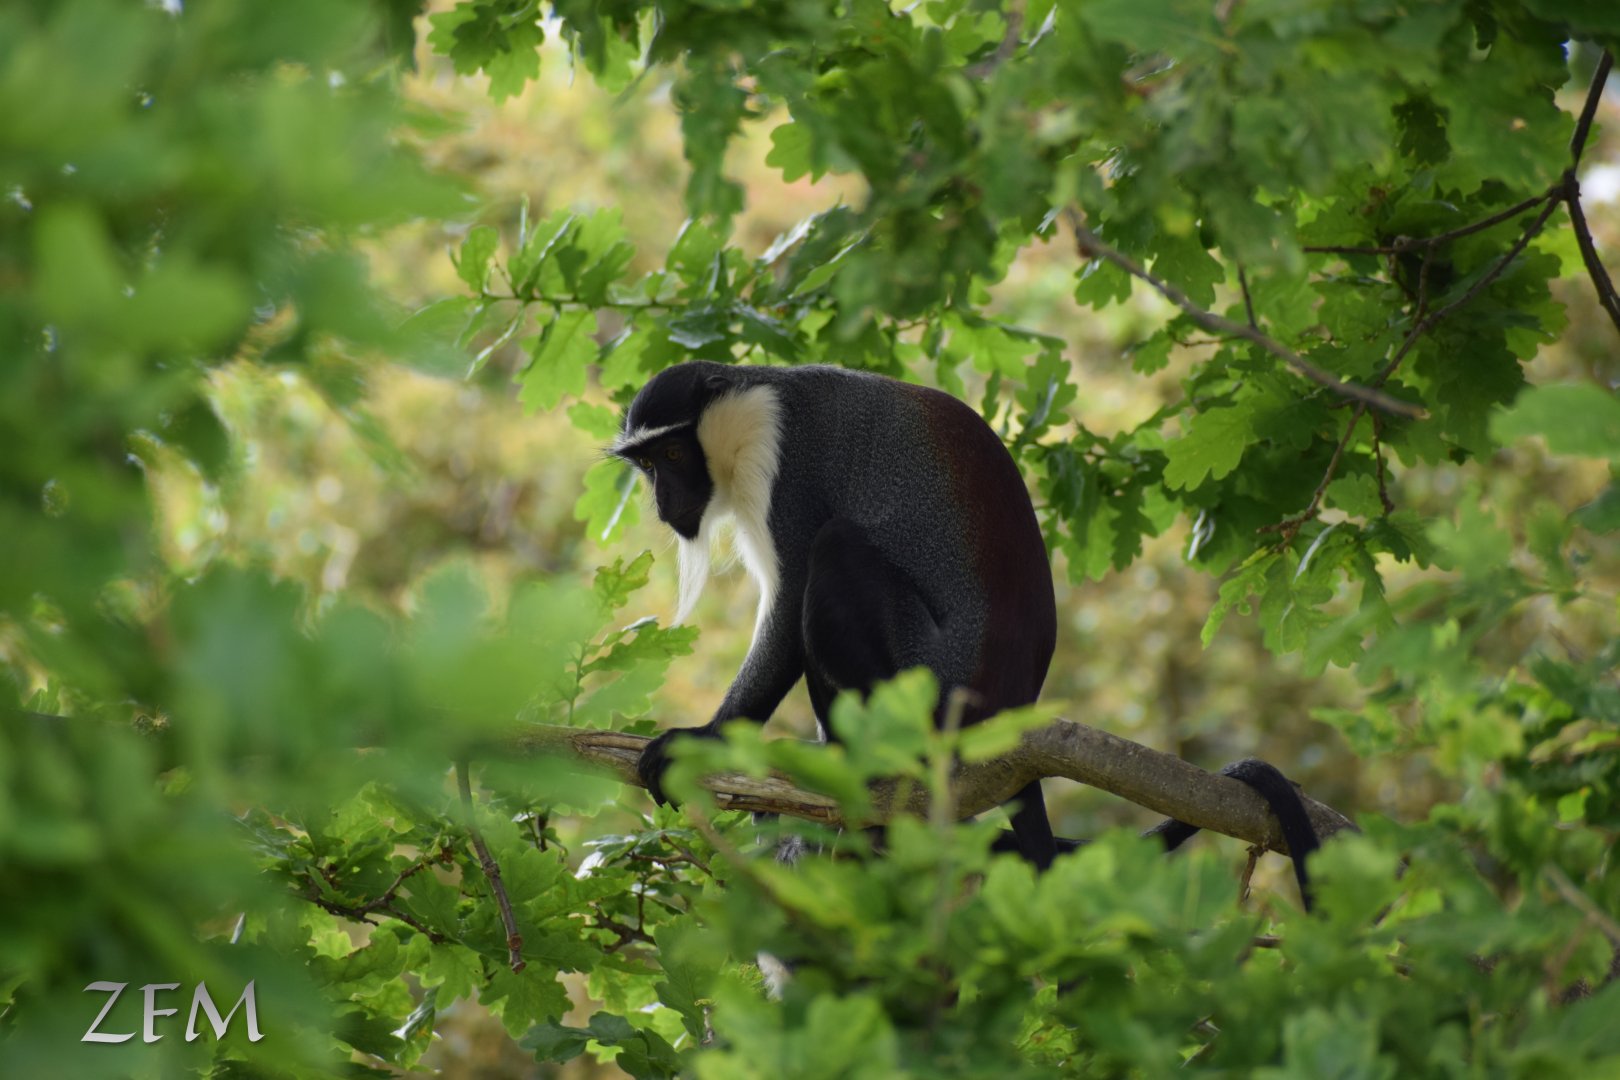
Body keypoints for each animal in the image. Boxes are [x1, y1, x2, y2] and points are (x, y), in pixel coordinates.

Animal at [612, 360, 1319, 901]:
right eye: (645, 464)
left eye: (672, 452)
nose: (662, 502)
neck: (754, 398)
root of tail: (1008, 711)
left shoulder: (785, 474)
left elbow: (787, 612)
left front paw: (700, 741)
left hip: (929, 679)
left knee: (835, 551)